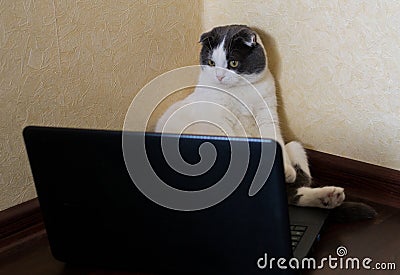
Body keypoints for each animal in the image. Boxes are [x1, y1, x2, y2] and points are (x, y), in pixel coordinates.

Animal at [154, 24, 372, 213]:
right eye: (211, 63)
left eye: (233, 63)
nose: (219, 76)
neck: (241, 92)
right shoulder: (222, 121)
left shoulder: (268, 114)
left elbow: (275, 139)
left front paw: (285, 170)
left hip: (296, 146)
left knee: (295, 190)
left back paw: (329, 196)